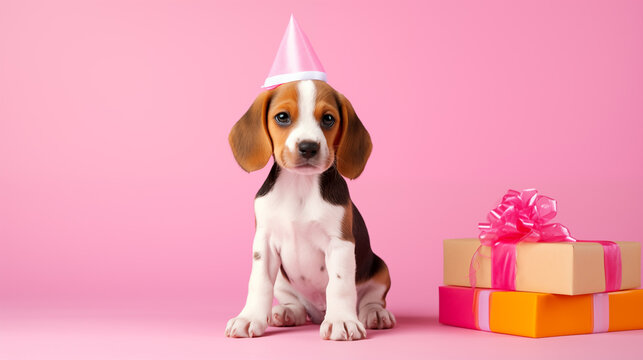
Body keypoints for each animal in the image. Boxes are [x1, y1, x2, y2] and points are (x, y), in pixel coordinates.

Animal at [226, 79, 398, 340]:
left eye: (328, 119)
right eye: (282, 117)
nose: (308, 147)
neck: (301, 185)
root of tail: (317, 312)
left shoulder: (340, 243)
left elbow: (339, 285)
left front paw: (341, 321)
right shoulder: (264, 243)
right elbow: (259, 282)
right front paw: (249, 317)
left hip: (381, 269)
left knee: (371, 299)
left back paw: (375, 314)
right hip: (283, 280)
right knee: (294, 303)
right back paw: (287, 312)